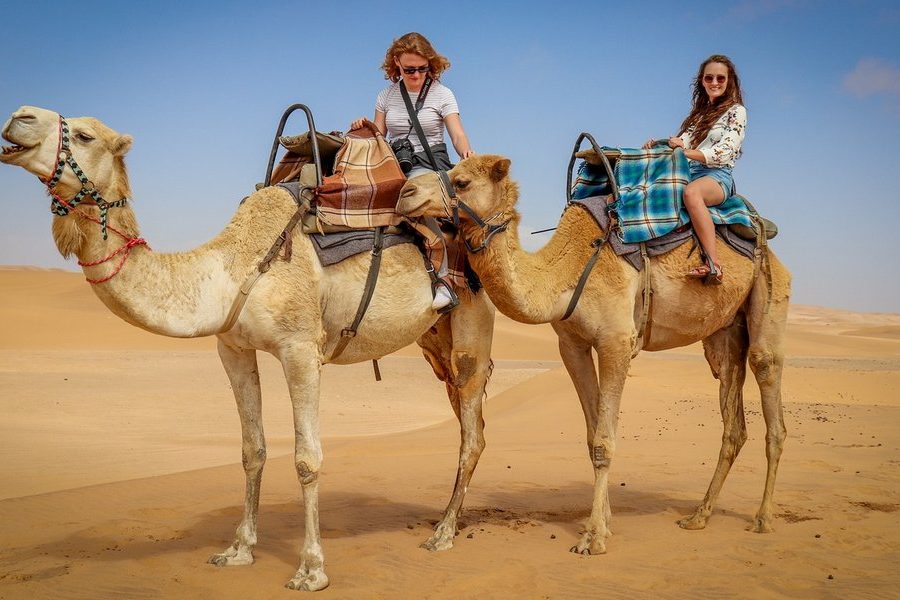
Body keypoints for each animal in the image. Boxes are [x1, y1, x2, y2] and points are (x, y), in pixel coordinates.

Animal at [0, 106, 496, 591]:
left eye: (85, 135)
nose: (18, 117)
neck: (230, 268)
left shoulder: (300, 347)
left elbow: (306, 458)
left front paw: (311, 569)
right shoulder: (232, 349)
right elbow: (251, 449)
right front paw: (239, 549)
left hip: (472, 319)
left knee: (472, 431)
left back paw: (443, 534)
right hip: (434, 341)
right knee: (467, 420)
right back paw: (448, 520)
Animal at [397, 154, 791, 555]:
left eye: (460, 181)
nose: (405, 192)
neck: (565, 272)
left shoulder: (617, 340)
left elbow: (604, 441)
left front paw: (593, 538)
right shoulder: (571, 345)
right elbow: (591, 437)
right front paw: (605, 523)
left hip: (770, 295)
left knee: (768, 382)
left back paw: (763, 518)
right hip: (724, 333)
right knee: (733, 415)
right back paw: (699, 516)